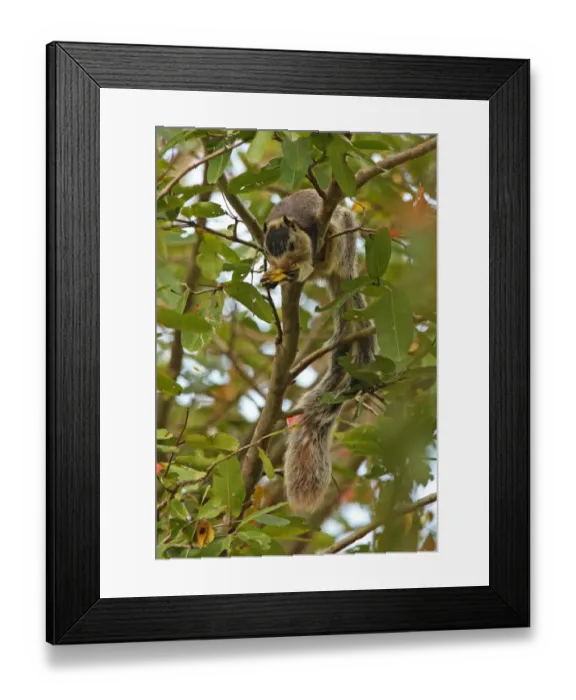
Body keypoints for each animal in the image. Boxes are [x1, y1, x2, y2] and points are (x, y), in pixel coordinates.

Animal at [260, 190, 376, 512]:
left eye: (291, 243)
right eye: (269, 249)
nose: (283, 263)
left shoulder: (312, 235)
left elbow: (308, 264)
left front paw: (294, 271)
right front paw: (271, 277)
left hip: (342, 240)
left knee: (330, 256)